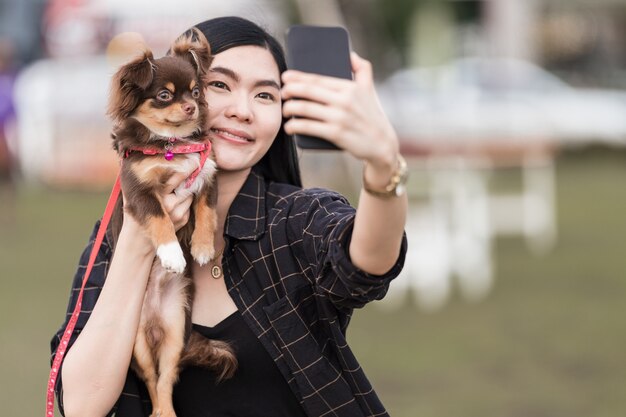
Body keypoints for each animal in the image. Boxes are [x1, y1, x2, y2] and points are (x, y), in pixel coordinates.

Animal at [107, 27, 234, 414]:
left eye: (195, 91)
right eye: (163, 96)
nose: (191, 106)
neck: (171, 146)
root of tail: (154, 324)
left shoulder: (206, 176)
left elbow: (206, 212)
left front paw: (203, 248)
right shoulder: (140, 193)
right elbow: (161, 220)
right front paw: (174, 254)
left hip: (177, 328)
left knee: (166, 378)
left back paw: (168, 410)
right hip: (134, 343)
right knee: (152, 379)